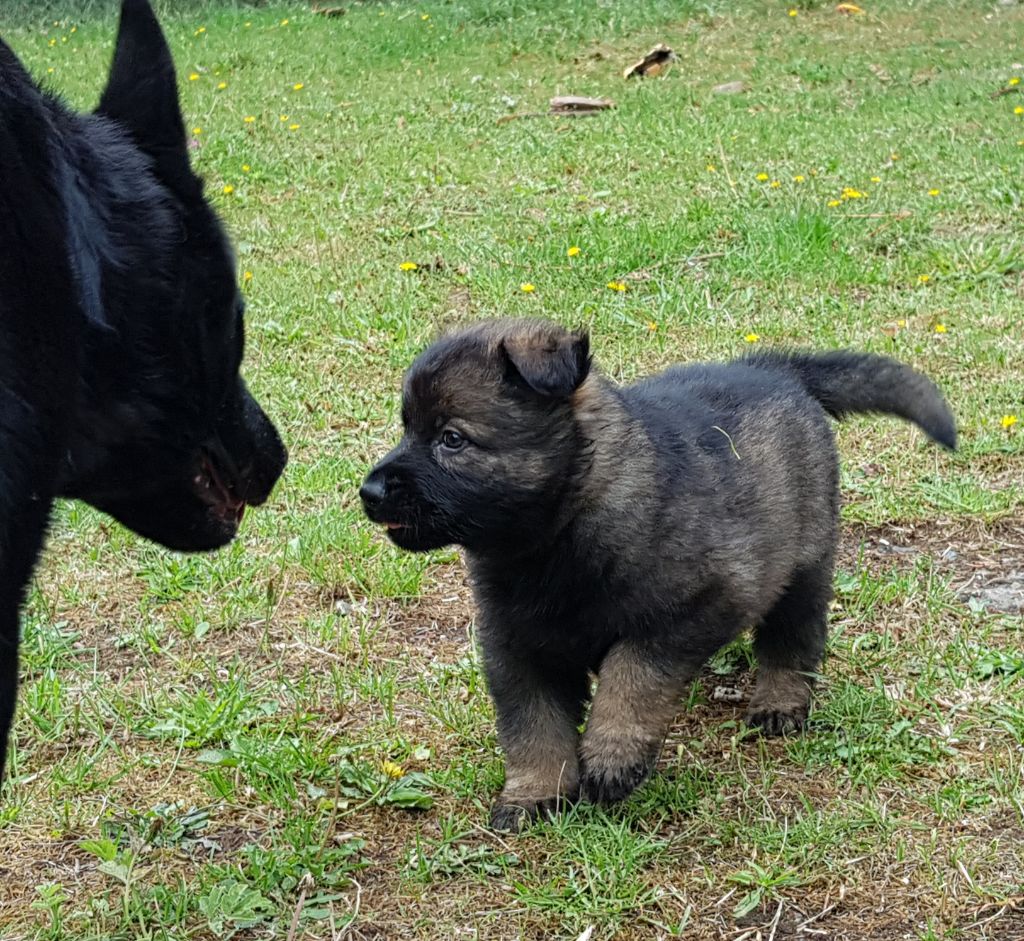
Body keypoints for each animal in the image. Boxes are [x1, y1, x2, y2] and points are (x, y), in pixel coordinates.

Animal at [364, 317, 954, 831]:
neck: (560, 532)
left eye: (452, 438)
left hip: (805, 565)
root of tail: (773, 368)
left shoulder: (691, 608)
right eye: (407, 428)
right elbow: (532, 726)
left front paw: (611, 755)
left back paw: (781, 701)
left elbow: (632, 675)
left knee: (794, 639)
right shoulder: (515, 644)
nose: (368, 492)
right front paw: (536, 793)